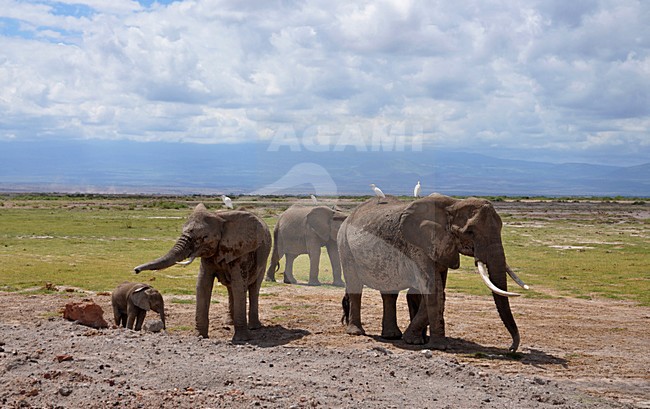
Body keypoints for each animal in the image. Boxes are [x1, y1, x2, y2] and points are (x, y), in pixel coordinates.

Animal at [134, 204, 271, 341]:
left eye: (205, 237)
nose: (136, 270)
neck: (219, 216)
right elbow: (203, 284)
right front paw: (200, 336)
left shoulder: (241, 251)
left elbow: (238, 285)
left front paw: (241, 339)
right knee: (230, 288)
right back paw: (229, 323)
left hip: (263, 259)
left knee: (253, 287)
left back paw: (254, 327)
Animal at [337, 194, 528, 352]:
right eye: (470, 232)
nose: (511, 348)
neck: (452, 205)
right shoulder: (418, 244)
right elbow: (434, 290)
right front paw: (437, 346)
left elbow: (437, 289)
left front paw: (415, 340)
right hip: (345, 245)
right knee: (355, 287)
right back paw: (356, 332)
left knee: (389, 292)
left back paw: (392, 336)